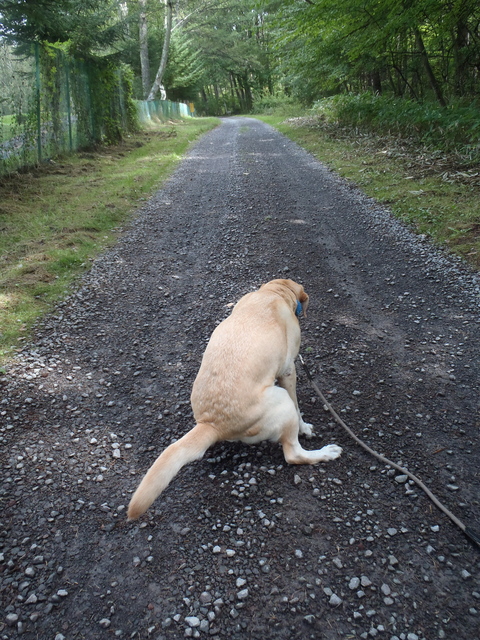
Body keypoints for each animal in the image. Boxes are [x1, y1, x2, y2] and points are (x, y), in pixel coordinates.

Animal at [128, 280, 342, 520]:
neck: (274, 293)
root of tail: (211, 423)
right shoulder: (289, 370)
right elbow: (298, 407)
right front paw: (305, 428)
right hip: (281, 399)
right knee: (293, 454)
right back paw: (326, 453)